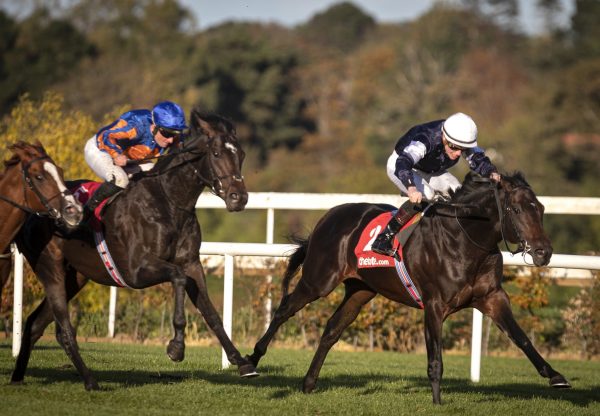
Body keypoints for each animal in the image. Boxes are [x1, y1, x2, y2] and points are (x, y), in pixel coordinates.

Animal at [10, 109, 256, 390]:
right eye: (216, 153)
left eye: (241, 155)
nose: (239, 197)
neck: (168, 202)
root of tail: (30, 211)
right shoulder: (136, 270)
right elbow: (178, 278)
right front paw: (176, 347)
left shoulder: (192, 263)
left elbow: (211, 312)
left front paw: (242, 361)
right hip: (50, 268)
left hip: (75, 277)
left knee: (35, 323)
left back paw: (17, 377)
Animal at [248, 171, 572, 404]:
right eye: (516, 209)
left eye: (541, 208)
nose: (544, 252)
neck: (465, 240)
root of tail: (328, 216)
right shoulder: (434, 305)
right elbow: (435, 359)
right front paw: (438, 402)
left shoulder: (492, 297)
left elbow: (522, 338)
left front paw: (556, 376)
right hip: (319, 280)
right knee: (284, 310)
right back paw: (251, 359)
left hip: (360, 290)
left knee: (331, 330)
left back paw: (308, 383)